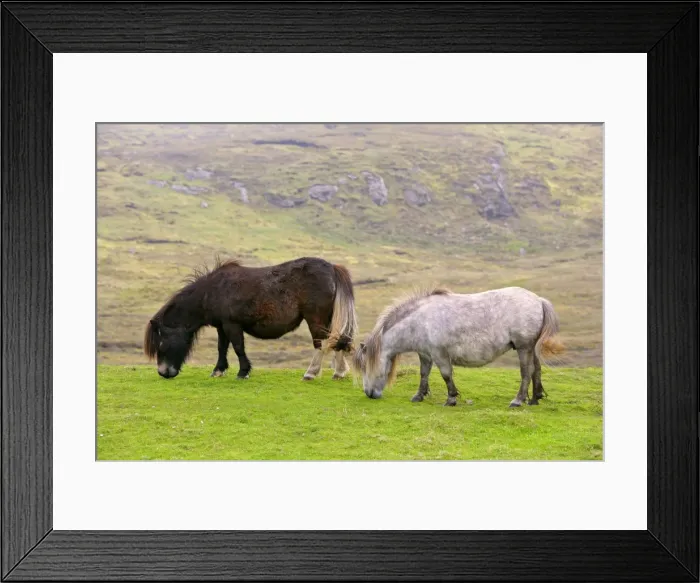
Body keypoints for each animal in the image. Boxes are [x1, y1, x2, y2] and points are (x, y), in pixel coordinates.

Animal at [144, 257, 358, 381]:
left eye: (161, 343)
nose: (163, 373)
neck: (212, 291)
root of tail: (332, 268)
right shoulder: (222, 326)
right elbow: (222, 348)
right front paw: (218, 370)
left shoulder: (232, 325)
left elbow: (238, 347)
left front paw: (243, 372)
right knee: (337, 340)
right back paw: (339, 372)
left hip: (315, 318)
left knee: (321, 343)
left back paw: (311, 373)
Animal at [352, 286, 564, 407]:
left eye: (365, 367)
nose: (369, 394)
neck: (419, 321)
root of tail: (538, 300)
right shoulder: (425, 354)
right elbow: (424, 374)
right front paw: (419, 396)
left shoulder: (439, 354)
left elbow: (446, 375)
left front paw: (451, 399)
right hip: (530, 348)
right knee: (536, 369)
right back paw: (534, 399)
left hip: (523, 347)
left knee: (527, 372)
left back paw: (518, 400)